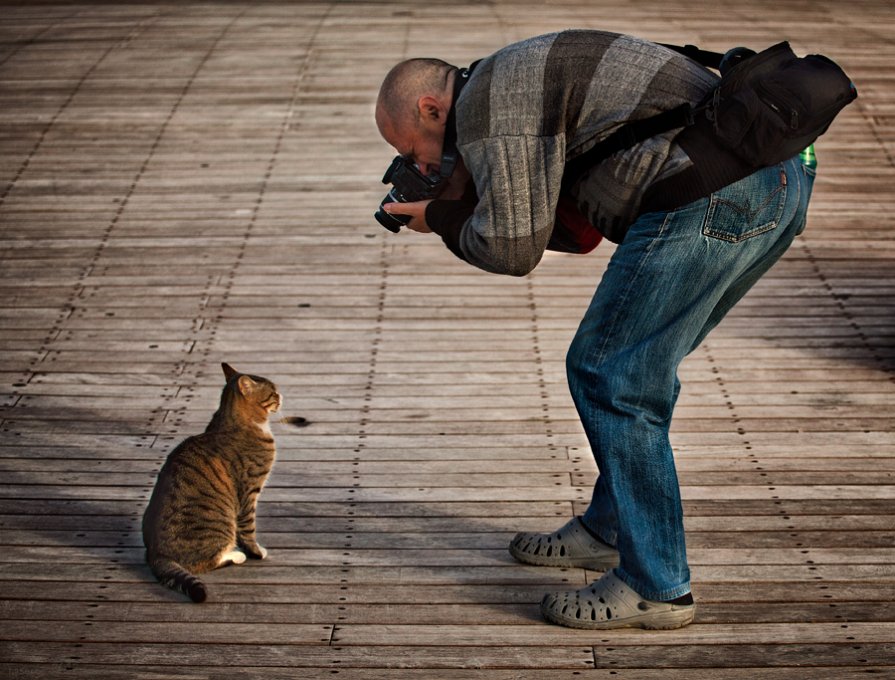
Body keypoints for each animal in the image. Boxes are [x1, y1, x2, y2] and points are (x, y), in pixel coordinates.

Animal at [142, 364, 282, 604]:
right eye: (272, 392)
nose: (281, 396)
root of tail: (157, 555)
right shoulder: (249, 491)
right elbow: (248, 529)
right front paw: (256, 552)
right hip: (221, 524)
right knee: (206, 563)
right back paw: (236, 555)